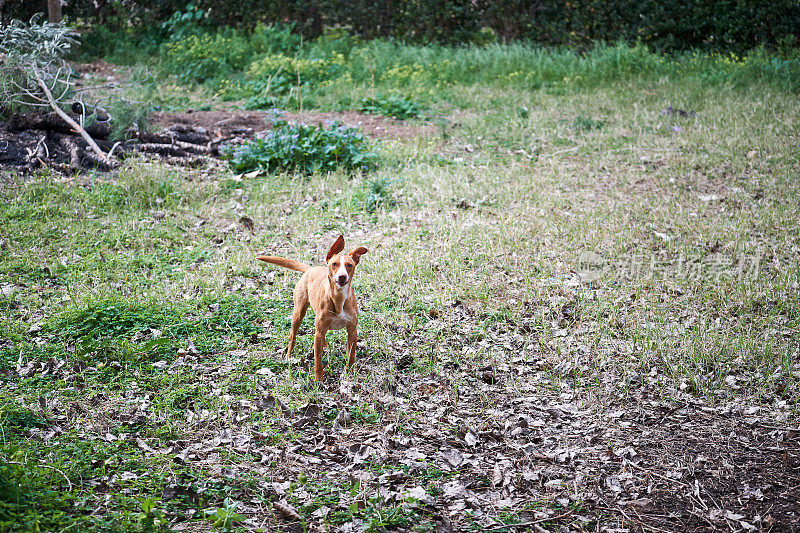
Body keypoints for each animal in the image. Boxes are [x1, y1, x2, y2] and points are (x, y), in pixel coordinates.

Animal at [258, 235, 368, 380]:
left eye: (349, 265)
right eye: (334, 264)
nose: (342, 276)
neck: (338, 298)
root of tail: (310, 269)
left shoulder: (352, 331)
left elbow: (351, 356)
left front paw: (350, 374)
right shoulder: (319, 332)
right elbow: (318, 360)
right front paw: (318, 380)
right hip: (298, 314)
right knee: (292, 336)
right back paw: (289, 356)